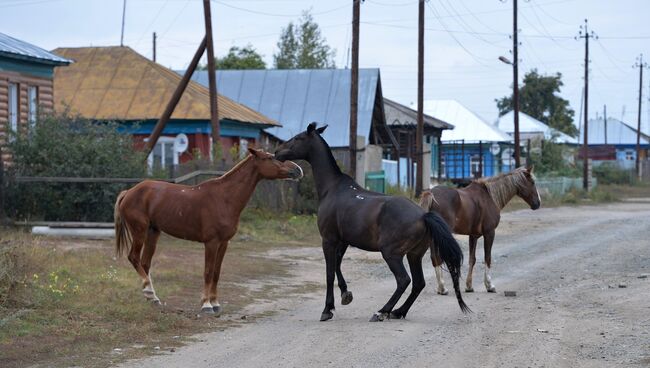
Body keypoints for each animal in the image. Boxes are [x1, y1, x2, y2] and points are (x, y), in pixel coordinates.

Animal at [113, 148, 302, 314]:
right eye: (270, 158)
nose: (298, 170)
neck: (224, 198)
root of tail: (129, 192)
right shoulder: (211, 243)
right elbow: (208, 272)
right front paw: (206, 305)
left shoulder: (224, 243)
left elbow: (216, 273)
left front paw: (216, 303)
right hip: (139, 231)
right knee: (134, 257)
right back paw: (149, 292)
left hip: (153, 232)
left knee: (145, 263)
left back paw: (153, 298)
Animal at [272, 122, 466, 320]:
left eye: (298, 138)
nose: (277, 152)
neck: (332, 188)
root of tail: (423, 215)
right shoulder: (343, 241)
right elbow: (337, 266)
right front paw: (345, 295)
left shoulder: (328, 240)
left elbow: (329, 273)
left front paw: (327, 309)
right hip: (414, 255)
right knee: (418, 283)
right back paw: (398, 312)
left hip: (391, 253)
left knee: (404, 280)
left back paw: (382, 311)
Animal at [418, 165, 540, 294]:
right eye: (532, 182)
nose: (538, 203)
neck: (490, 197)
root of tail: (431, 194)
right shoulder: (489, 233)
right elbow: (488, 258)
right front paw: (489, 285)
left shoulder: (473, 236)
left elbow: (472, 259)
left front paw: (469, 286)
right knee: (438, 257)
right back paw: (442, 287)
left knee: (435, 258)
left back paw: (441, 288)